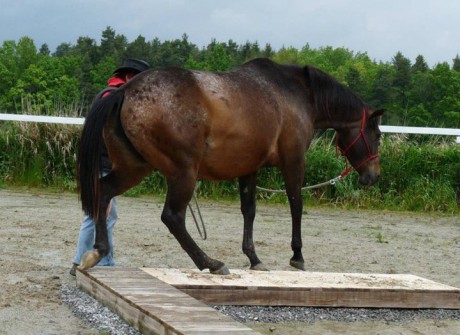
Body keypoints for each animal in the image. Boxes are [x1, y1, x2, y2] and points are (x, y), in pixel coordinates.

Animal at [77, 58, 382, 276]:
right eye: (377, 135)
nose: (373, 176)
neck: (294, 94)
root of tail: (125, 92)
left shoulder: (249, 168)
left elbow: (249, 211)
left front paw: (254, 258)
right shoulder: (293, 161)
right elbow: (296, 205)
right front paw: (297, 256)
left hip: (134, 168)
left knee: (104, 192)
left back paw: (98, 251)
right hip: (183, 173)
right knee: (172, 217)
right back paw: (210, 263)